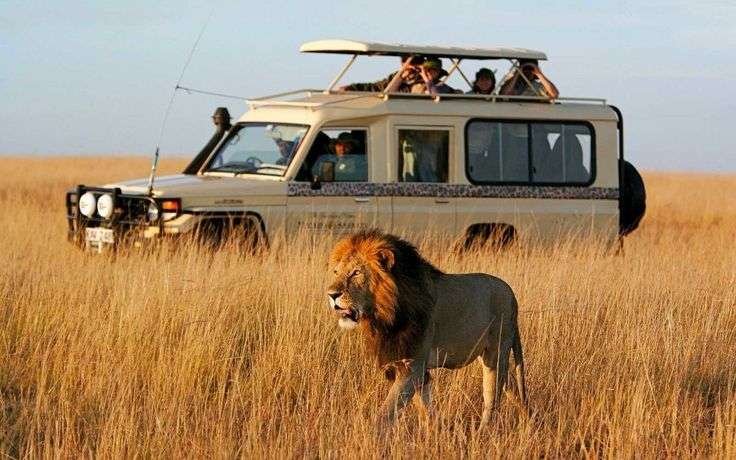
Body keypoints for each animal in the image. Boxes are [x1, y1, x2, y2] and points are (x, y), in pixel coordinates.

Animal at [326, 229, 527, 427]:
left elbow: (385, 414)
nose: (331, 294)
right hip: (490, 355)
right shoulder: (410, 367)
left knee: (493, 397)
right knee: (512, 387)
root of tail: (512, 294)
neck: (387, 313)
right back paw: (528, 418)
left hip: (496, 352)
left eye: (356, 272)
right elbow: (425, 408)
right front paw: (435, 429)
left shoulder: (413, 365)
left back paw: (484, 430)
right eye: (336, 272)